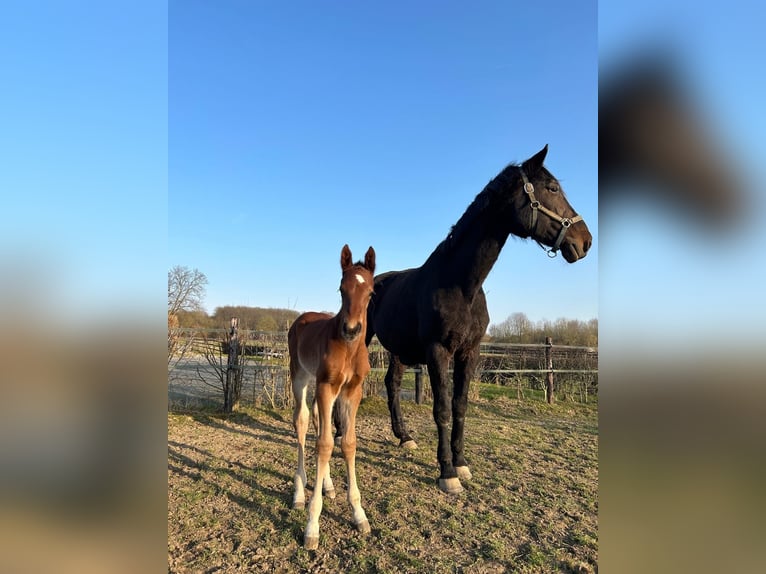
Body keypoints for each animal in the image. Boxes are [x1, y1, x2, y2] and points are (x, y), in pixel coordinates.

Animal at [290, 243, 376, 548]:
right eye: (341, 288)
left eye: (371, 292)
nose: (351, 329)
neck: (349, 349)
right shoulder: (327, 386)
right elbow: (325, 444)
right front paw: (312, 526)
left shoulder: (352, 391)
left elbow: (347, 443)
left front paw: (359, 514)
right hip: (301, 377)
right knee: (303, 421)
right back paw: (299, 492)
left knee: (317, 422)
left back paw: (326, 485)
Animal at [364, 147, 592, 496]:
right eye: (552, 188)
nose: (585, 241)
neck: (461, 286)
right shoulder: (438, 352)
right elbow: (442, 409)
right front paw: (446, 473)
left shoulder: (469, 353)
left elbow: (460, 406)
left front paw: (461, 463)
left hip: (399, 351)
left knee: (391, 384)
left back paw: (404, 437)